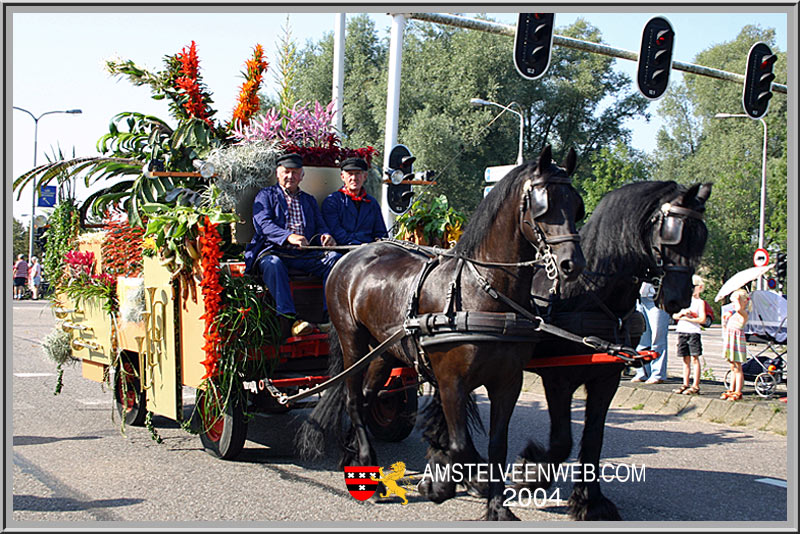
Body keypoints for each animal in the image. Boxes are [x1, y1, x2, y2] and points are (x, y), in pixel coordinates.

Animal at [296, 144, 584, 520]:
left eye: (576, 205)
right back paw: (371, 471)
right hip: (353, 342)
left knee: (366, 397)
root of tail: (352, 255)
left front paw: (497, 506)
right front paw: (441, 482)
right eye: (543, 205)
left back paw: (356, 461)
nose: (572, 264)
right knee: (353, 400)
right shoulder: (450, 380)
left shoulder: (508, 382)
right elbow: (460, 445)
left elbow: (497, 446)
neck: (484, 292)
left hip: (385, 352)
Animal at [520, 182, 712, 520]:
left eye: (701, 237)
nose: (678, 299)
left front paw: (590, 500)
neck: (587, 294)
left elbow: (594, 438)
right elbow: (562, 440)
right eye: (673, 235)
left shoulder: (606, 378)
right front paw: (531, 472)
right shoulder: (558, 379)